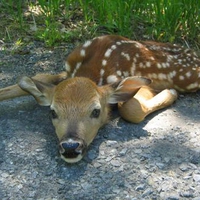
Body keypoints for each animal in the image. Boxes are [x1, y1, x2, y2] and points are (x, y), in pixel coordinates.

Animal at [0, 34, 200, 162]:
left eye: (96, 111)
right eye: (53, 112)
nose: (71, 146)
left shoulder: (142, 83)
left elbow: (131, 109)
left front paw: (171, 93)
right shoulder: (65, 73)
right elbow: (36, 78)